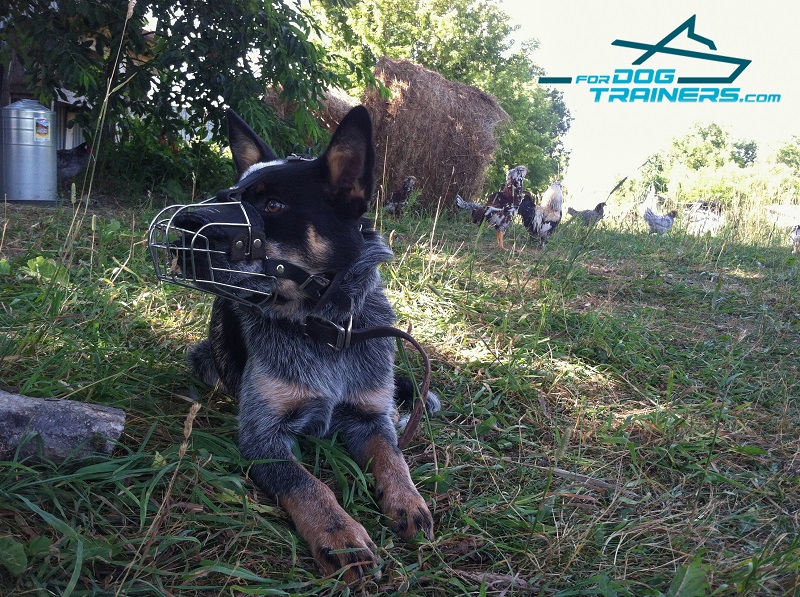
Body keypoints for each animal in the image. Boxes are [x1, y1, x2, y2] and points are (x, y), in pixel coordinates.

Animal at [153, 106, 440, 584]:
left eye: (273, 205)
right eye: (224, 196)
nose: (182, 227)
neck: (326, 330)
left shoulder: (370, 418)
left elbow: (393, 456)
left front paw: (406, 499)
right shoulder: (263, 438)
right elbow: (309, 484)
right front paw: (340, 533)